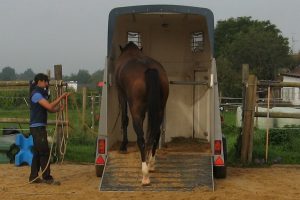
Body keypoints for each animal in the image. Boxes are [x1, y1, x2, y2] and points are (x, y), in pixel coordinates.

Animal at [115, 41, 169, 185]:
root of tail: (150, 69)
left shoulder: (121, 94)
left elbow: (124, 119)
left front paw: (123, 146)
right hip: (160, 110)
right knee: (155, 134)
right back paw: (151, 164)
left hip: (136, 111)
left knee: (141, 138)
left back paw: (145, 173)